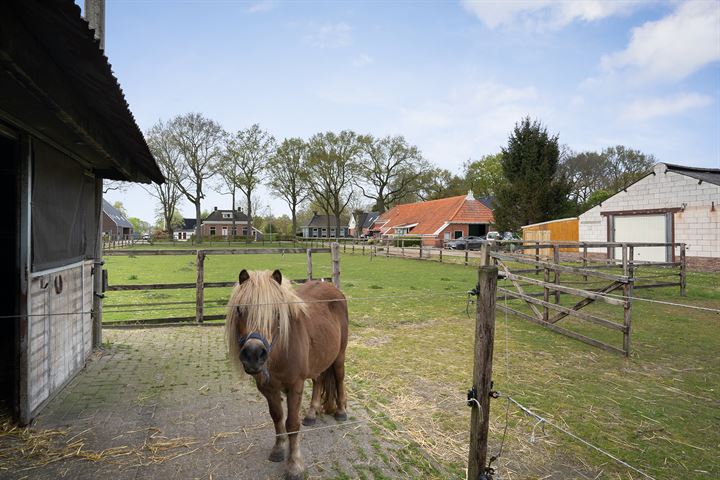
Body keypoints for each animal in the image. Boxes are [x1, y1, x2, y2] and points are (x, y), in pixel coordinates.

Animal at [225, 270, 348, 480]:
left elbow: (291, 424)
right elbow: (277, 417)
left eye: (276, 311)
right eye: (240, 309)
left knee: (339, 379)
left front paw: (294, 465)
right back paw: (311, 414)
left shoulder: (295, 387)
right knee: (318, 381)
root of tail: (333, 288)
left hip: (339, 356)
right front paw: (279, 449)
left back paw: (341, 412)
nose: (253, 355)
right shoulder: (268, 389)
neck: (281, 351)